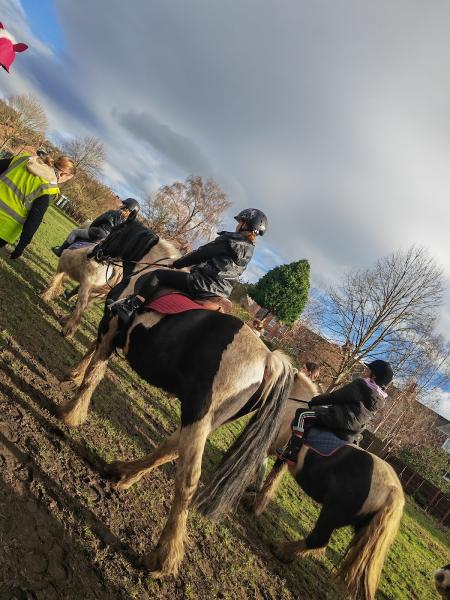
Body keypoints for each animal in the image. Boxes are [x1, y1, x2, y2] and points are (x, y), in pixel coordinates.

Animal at [56, 218, 294, 580]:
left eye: (111, 227)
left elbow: (95, 373)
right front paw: (73, 376)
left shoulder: (111, 327)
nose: (94, 252)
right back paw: (123, 473)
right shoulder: (110, 331)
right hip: (206, 418)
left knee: (187, 478)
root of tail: (268, 359)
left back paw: (162, 557)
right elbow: (92, 358)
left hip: (198, 411)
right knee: (171, 448)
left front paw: (72, 412)